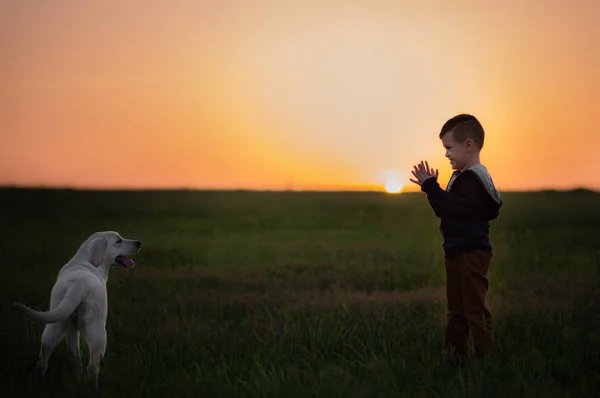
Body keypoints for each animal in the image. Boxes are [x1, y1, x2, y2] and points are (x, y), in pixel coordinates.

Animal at [14, 232, 142, 390]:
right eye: (118, 241)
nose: (139, 243)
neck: (85, 262)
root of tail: (77, 285)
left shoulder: (72, 329)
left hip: (54, 325)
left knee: (44, 360)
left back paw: (42, 382)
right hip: (98, 332)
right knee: (92, 367)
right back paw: (93, 389)